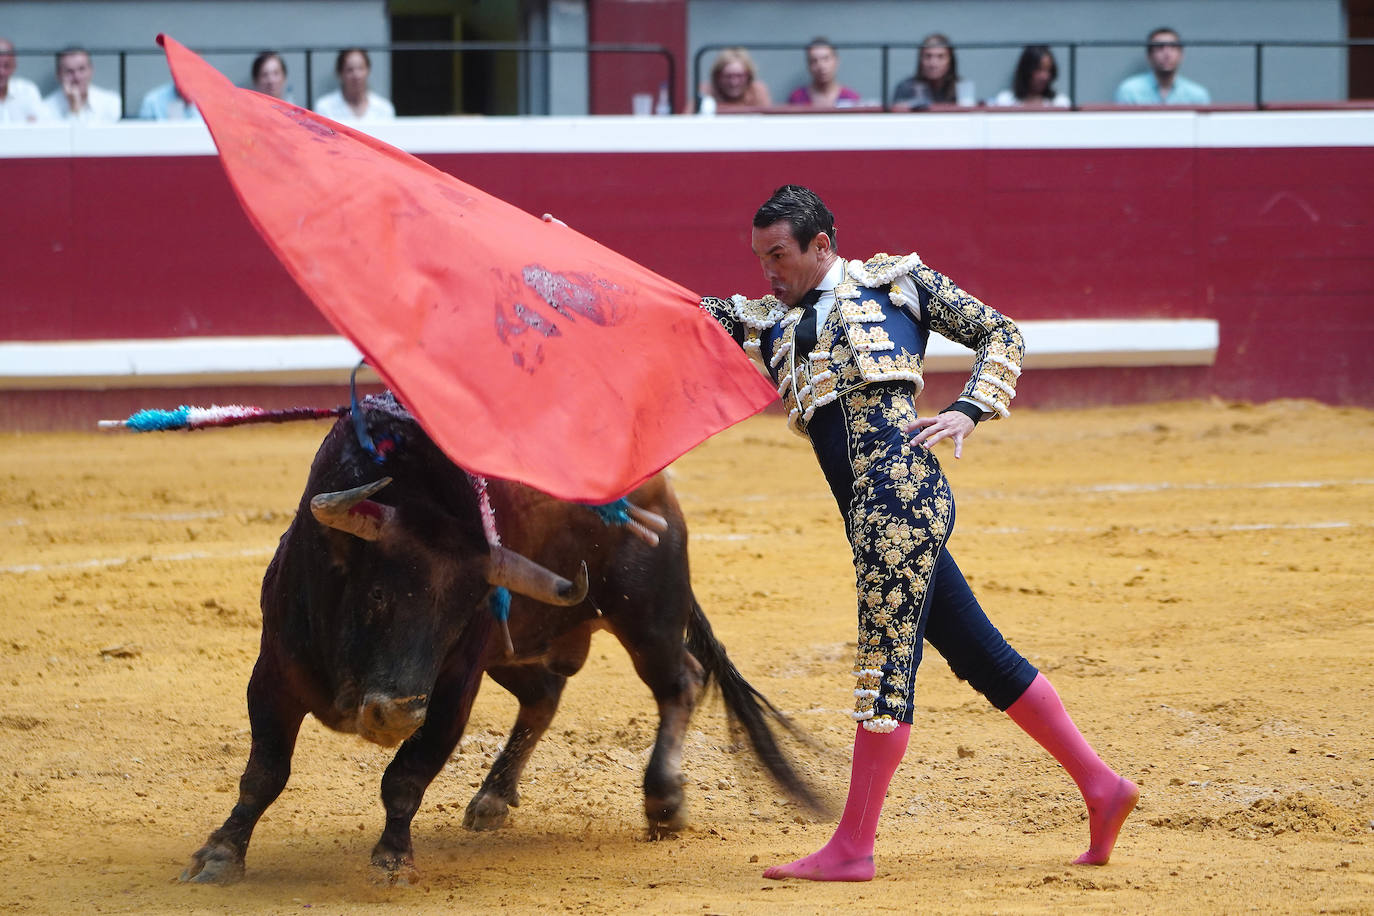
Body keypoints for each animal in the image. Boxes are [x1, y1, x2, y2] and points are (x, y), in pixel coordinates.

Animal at [179, 395, 813, 889]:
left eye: (464, 612)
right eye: (378, 594)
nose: (394, 716)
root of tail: (656, 485)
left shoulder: (452, 690)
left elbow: (405, 778)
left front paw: (392, 860)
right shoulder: (273, 673)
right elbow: (264, 772)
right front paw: (219, 855)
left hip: (647, 617)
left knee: (679, 679)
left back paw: (663, 802)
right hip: (518, 648)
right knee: (545, 694)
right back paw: (493, 798)